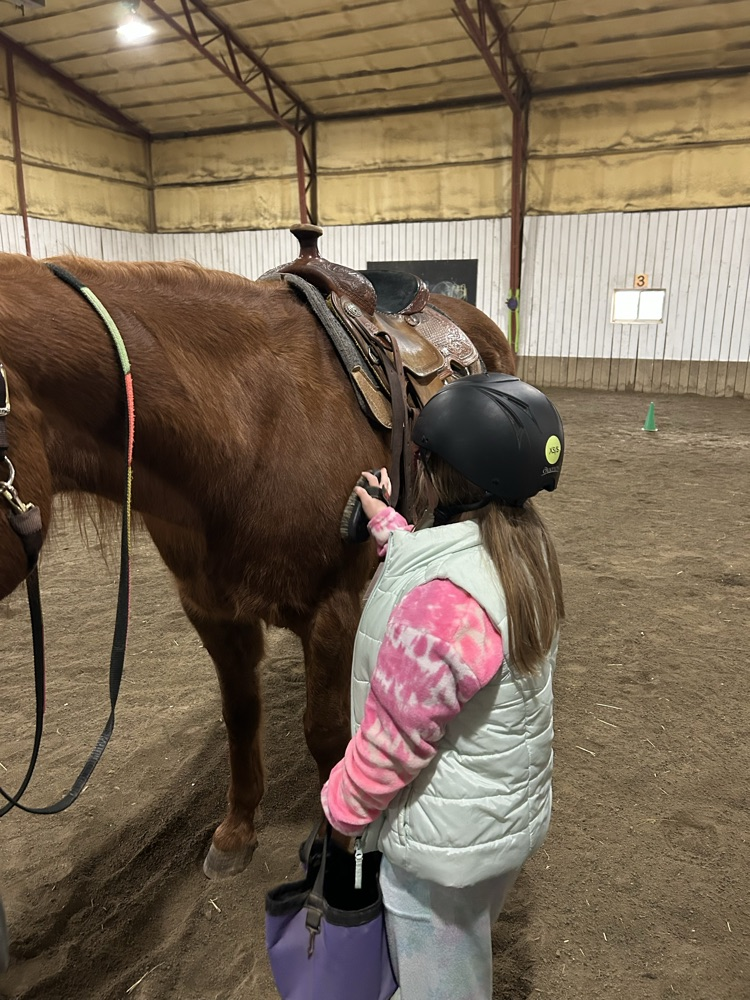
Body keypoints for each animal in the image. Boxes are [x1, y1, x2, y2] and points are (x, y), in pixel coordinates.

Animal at [0, 250, 514, 948]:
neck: (248, 426)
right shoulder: (213, 612)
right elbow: (241, 715)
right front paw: (237, 830)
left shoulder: (331, 607)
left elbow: (324, 732)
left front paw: (335, 843)